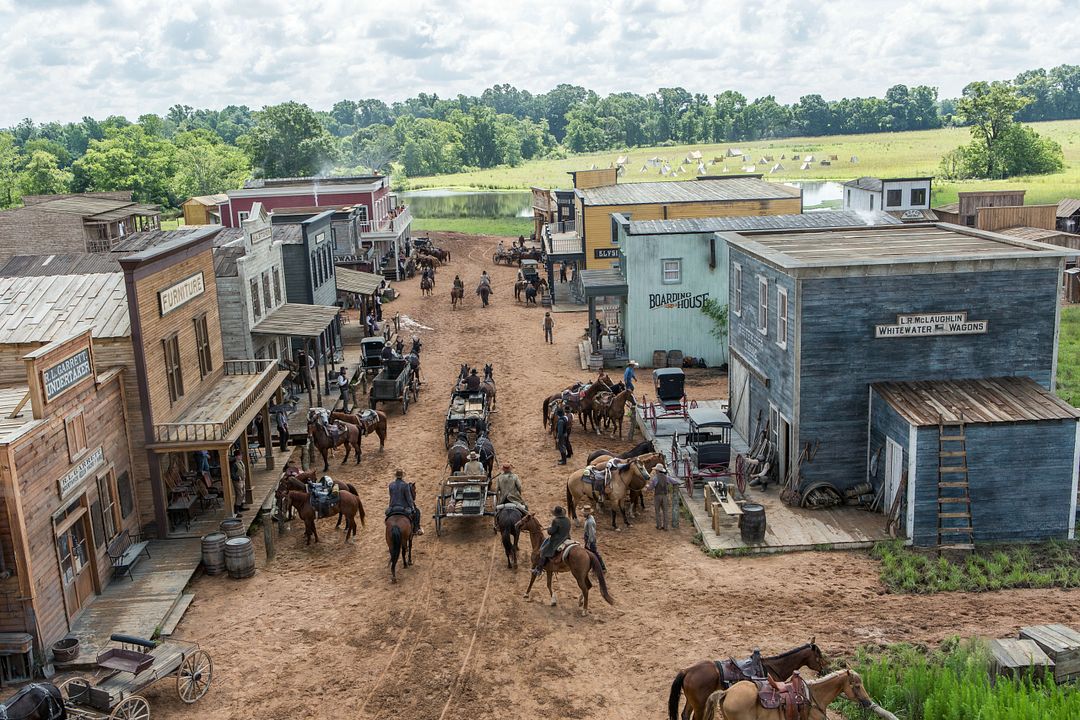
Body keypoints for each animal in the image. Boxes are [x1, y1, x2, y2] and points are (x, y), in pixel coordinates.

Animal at [669, 643, 829, 720]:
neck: (771, 667)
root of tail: (687, 670)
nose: (826, 669)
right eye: (819, 656)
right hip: (700, 705)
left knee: (684, 715)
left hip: (692, 701)